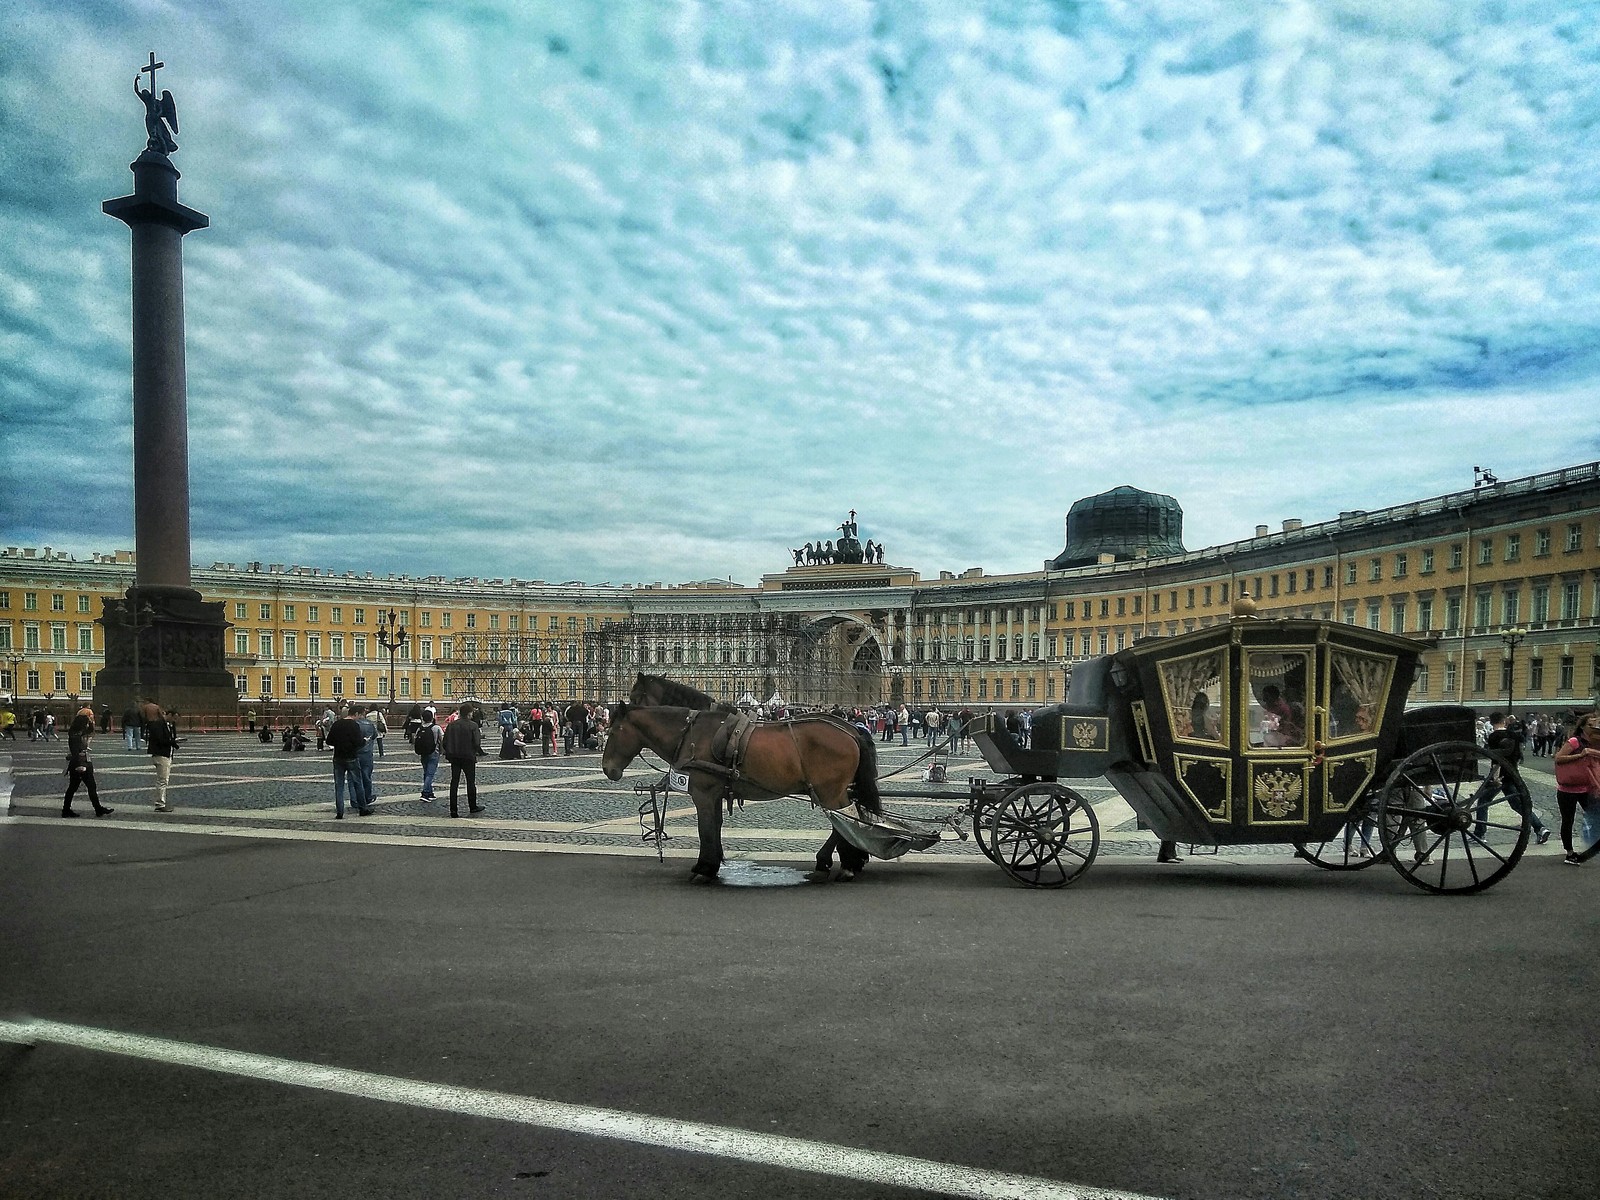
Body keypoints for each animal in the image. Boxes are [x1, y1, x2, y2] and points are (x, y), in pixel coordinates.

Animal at [601, 704, 883, 883]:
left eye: (613, 731)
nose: (608, 769)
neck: (692, 736)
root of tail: (852, 731)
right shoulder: (714, 795)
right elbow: (715, 827)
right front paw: (713, 865)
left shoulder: (702, 794)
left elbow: (705, 829)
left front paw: (704, 868)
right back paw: (846, 862)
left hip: (830, 791)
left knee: (844, 823)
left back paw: (839, 865)